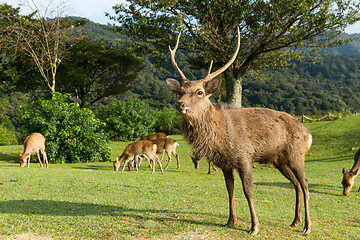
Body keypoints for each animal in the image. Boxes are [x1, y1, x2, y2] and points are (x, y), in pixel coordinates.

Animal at [166, 27, 312, 234]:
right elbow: (230, 189)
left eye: (200, 92)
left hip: (296, 154)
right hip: (279, 159)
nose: (180, 104)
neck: (219, 137)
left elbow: (248, 190)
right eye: (180, 91)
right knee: (296, 184)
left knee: (305, 183)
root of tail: (308, 134)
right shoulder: (225, 163)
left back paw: (307, 226)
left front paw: (254, 226)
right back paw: (295, 221)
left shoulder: (244, 156)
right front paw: (230, 220)